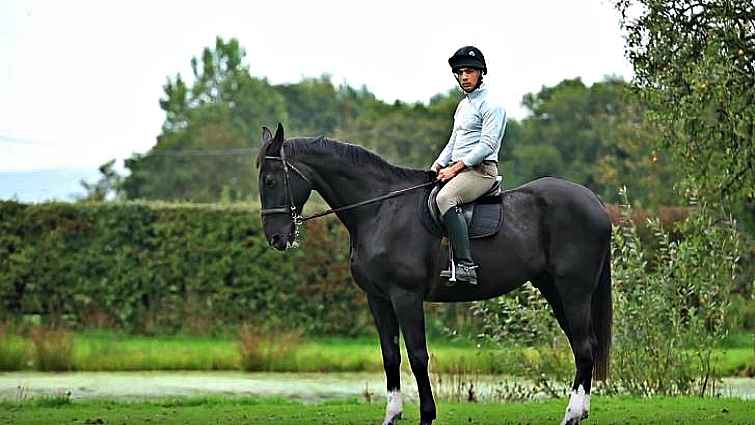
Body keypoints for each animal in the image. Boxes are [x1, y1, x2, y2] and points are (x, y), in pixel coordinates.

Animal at [256, 123, 612, 425]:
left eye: (271, 181)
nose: (276, 238)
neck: (380, 210)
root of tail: (594, 201)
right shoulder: (378, 299)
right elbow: (390, 356)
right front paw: (392, 415)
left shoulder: (406, 297)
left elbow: (417, 356)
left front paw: (427, 415)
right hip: (555, 289)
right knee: (583, 346)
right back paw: (581, 411)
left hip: (574, 291)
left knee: (584, 347)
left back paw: (571, 415)